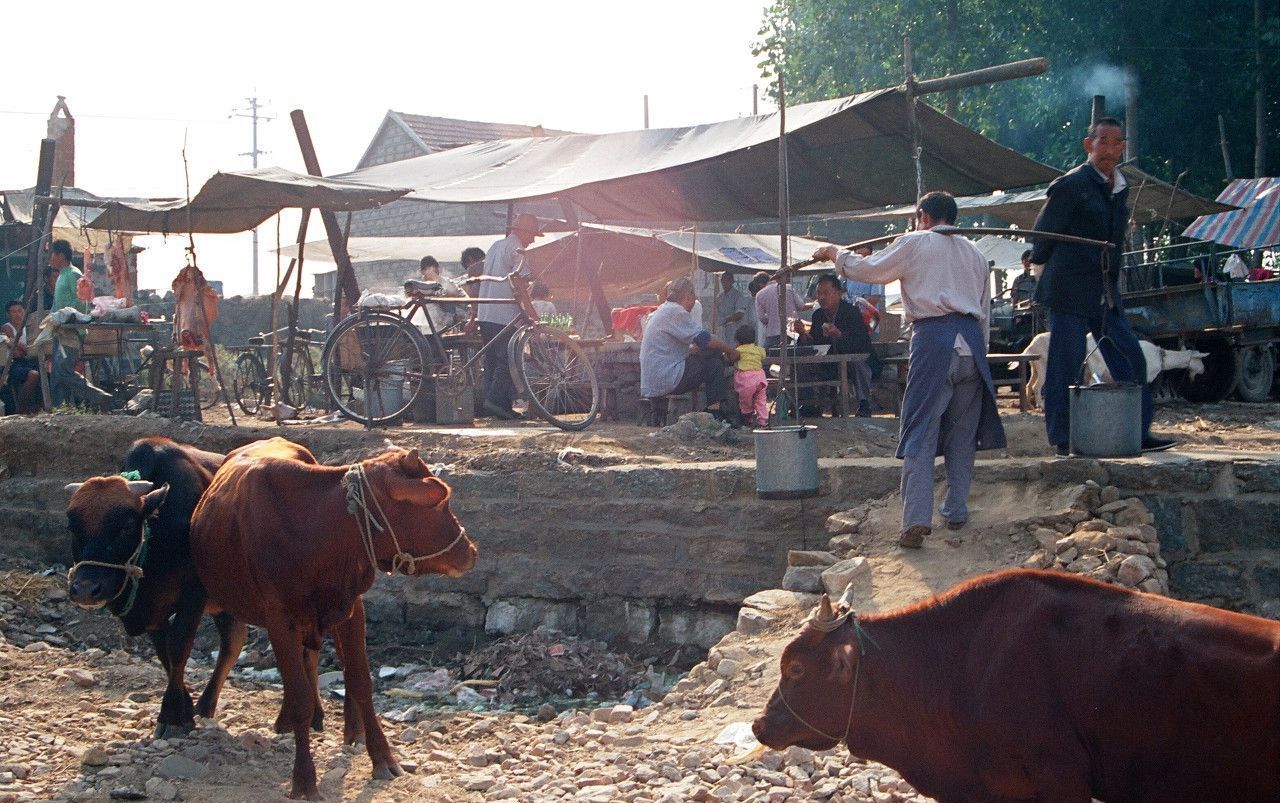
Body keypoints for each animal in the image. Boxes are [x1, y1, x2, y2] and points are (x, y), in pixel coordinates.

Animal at [64, 435, 247, 737]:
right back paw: (205, 706)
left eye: (127, 523)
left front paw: (171, 717)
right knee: (233, 642)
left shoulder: (193, 595)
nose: (86, 589)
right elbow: (165, 656)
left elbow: (178, 647)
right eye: (72, 526)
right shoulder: (153, 612)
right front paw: (184, 713)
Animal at [186, 435, 473, 799]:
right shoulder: (279, 619)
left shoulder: (351, 608)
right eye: (441, 503)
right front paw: (304, 779)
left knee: (320, 661)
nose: (471, 551)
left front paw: (382, 758)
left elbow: (361, 681)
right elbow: (299, 696)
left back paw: (347, 728)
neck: (317, 527)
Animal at [1018, 330, 1208, 407]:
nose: (1203, 371)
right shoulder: (1145, 375)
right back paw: (1041, 405)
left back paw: (1032, 405)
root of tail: (1030, 347)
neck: (1161, 356)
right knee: (1038, 386)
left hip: (1036, 367)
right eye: (1200, 360)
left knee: (1029, 385)